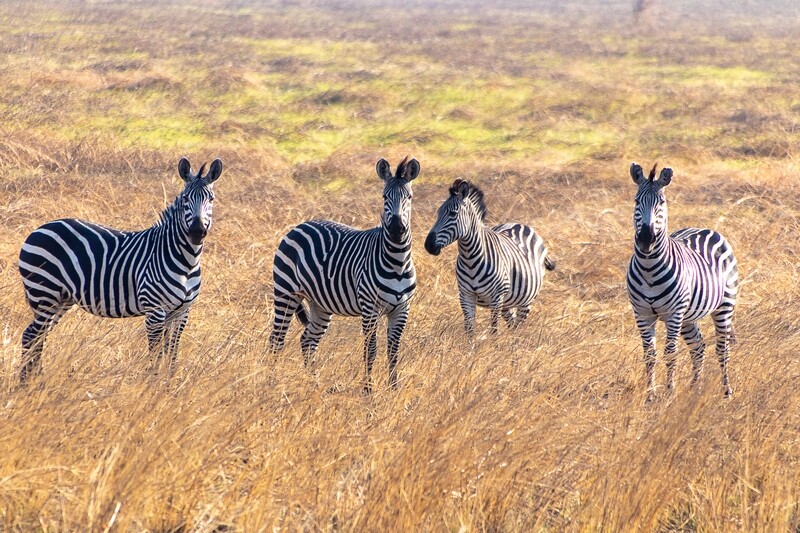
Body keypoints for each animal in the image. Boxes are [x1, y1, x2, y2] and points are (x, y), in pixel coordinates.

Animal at [18, 157, 222, 382]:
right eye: (185, 199)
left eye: (211, 199)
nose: (197, 232)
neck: (186, 261)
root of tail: (40, 228)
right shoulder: (155, 311)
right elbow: (156, 355)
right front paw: (153, 386)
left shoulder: (181, 312)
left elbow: (172, 355)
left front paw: (168, 386)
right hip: (44, 293)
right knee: (31, 336)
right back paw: (26, 384)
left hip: (61, 299)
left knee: (38, 337)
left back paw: (37, 382)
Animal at [269, 157, 419, 393]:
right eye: (384, 196)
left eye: (409, 197)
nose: (396, 229)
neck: (397, 262)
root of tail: (301, 224)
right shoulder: (370, 308)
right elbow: (370, 350)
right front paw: (368, 392)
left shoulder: (402, 309)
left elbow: (393, 351)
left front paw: (394, 390)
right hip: (285, 292)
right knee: (277, 339)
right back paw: (270, 384)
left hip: (319, 304)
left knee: (308, 340)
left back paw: (314, 385)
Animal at [424, 179, 555, 336]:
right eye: (438, 213)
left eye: (453, 214)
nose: (428, 245)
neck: (470, 258)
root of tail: (519, 224)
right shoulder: (466, 296)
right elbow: (469, 329)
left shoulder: (496, 298)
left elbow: (493, 330)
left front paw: (493, 343)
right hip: (507, 302)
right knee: (512, 324)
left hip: (525, 300)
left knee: (518, 327)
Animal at [627, 162, 738, 397]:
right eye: (636, 201)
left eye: (661, 202)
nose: (646, 240)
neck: (648, 269)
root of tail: (704, 228)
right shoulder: (642, 314)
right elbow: (649, 355)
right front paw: (650, 396)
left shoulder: (673, 314)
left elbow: (670, 352)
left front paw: (669, 392)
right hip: (688, 316)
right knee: (698, 347)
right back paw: (695, 389)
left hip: (724, 305)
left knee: (722, 349)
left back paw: (726, 392)